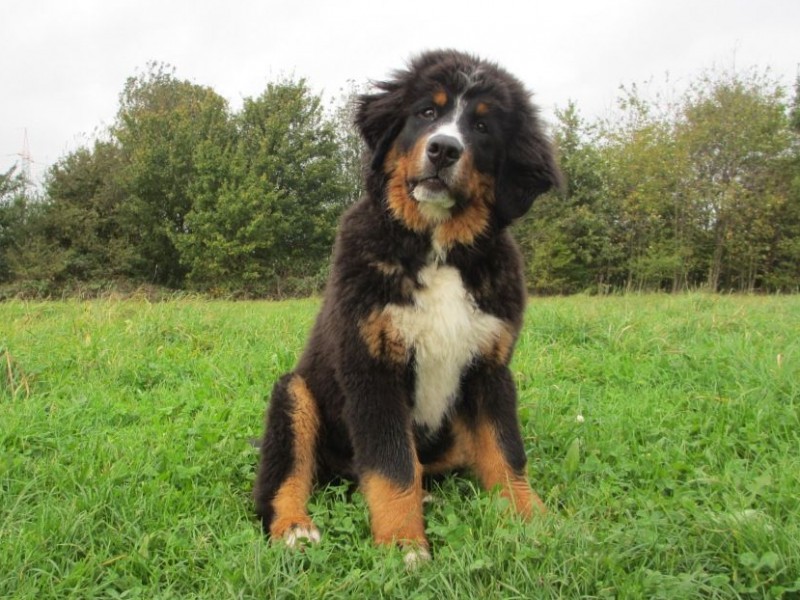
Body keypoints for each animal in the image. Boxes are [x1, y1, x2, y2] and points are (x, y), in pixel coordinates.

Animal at [254, 49, 561, 562]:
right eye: (427, 112)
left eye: (482, 126)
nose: (443, 150)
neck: (437, 249)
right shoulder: (372, 366)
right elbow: (393, 463)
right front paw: (403, 543)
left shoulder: (489, 367)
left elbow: (505, 452)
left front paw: (534, 519)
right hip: (294, 393)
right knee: (284, 476)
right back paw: (295, 526)